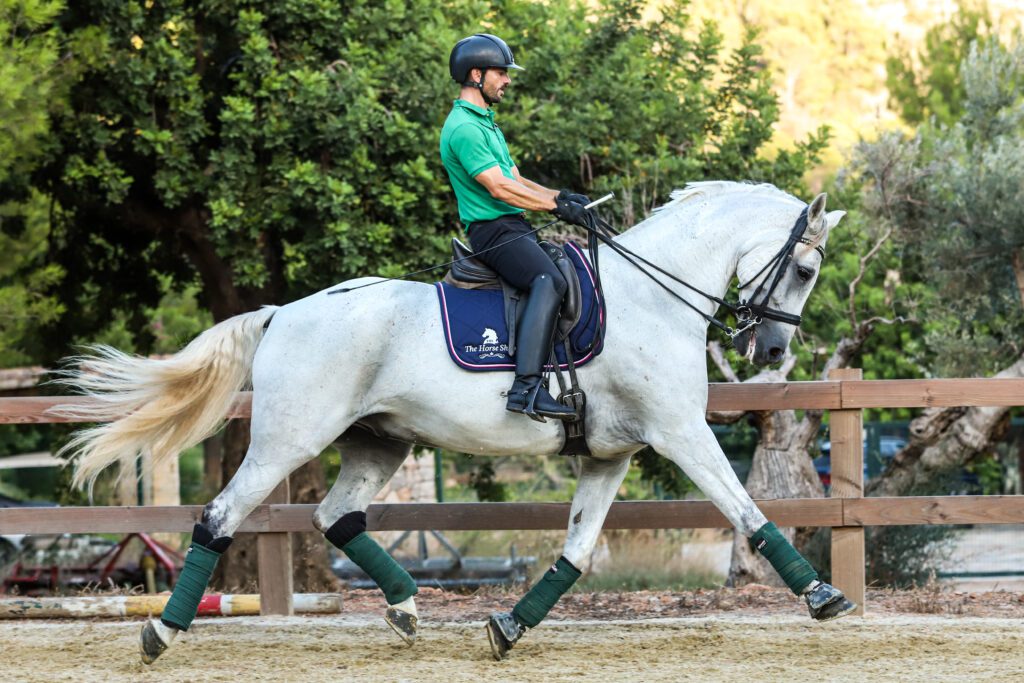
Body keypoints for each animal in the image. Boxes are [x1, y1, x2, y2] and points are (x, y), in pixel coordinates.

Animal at [59, 180, 851, 663]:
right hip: (290, 438)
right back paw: (161, 631)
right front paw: (822, 596)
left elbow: (575, 551)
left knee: (336, 517)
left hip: (378, 443)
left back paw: (408, 610)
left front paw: (507, 626)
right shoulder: (681, 431)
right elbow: (747, 509)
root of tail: (284, 312)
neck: (650, 297)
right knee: (220, 516)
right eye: (806, 271)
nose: (771, 351)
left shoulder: (609, 455)